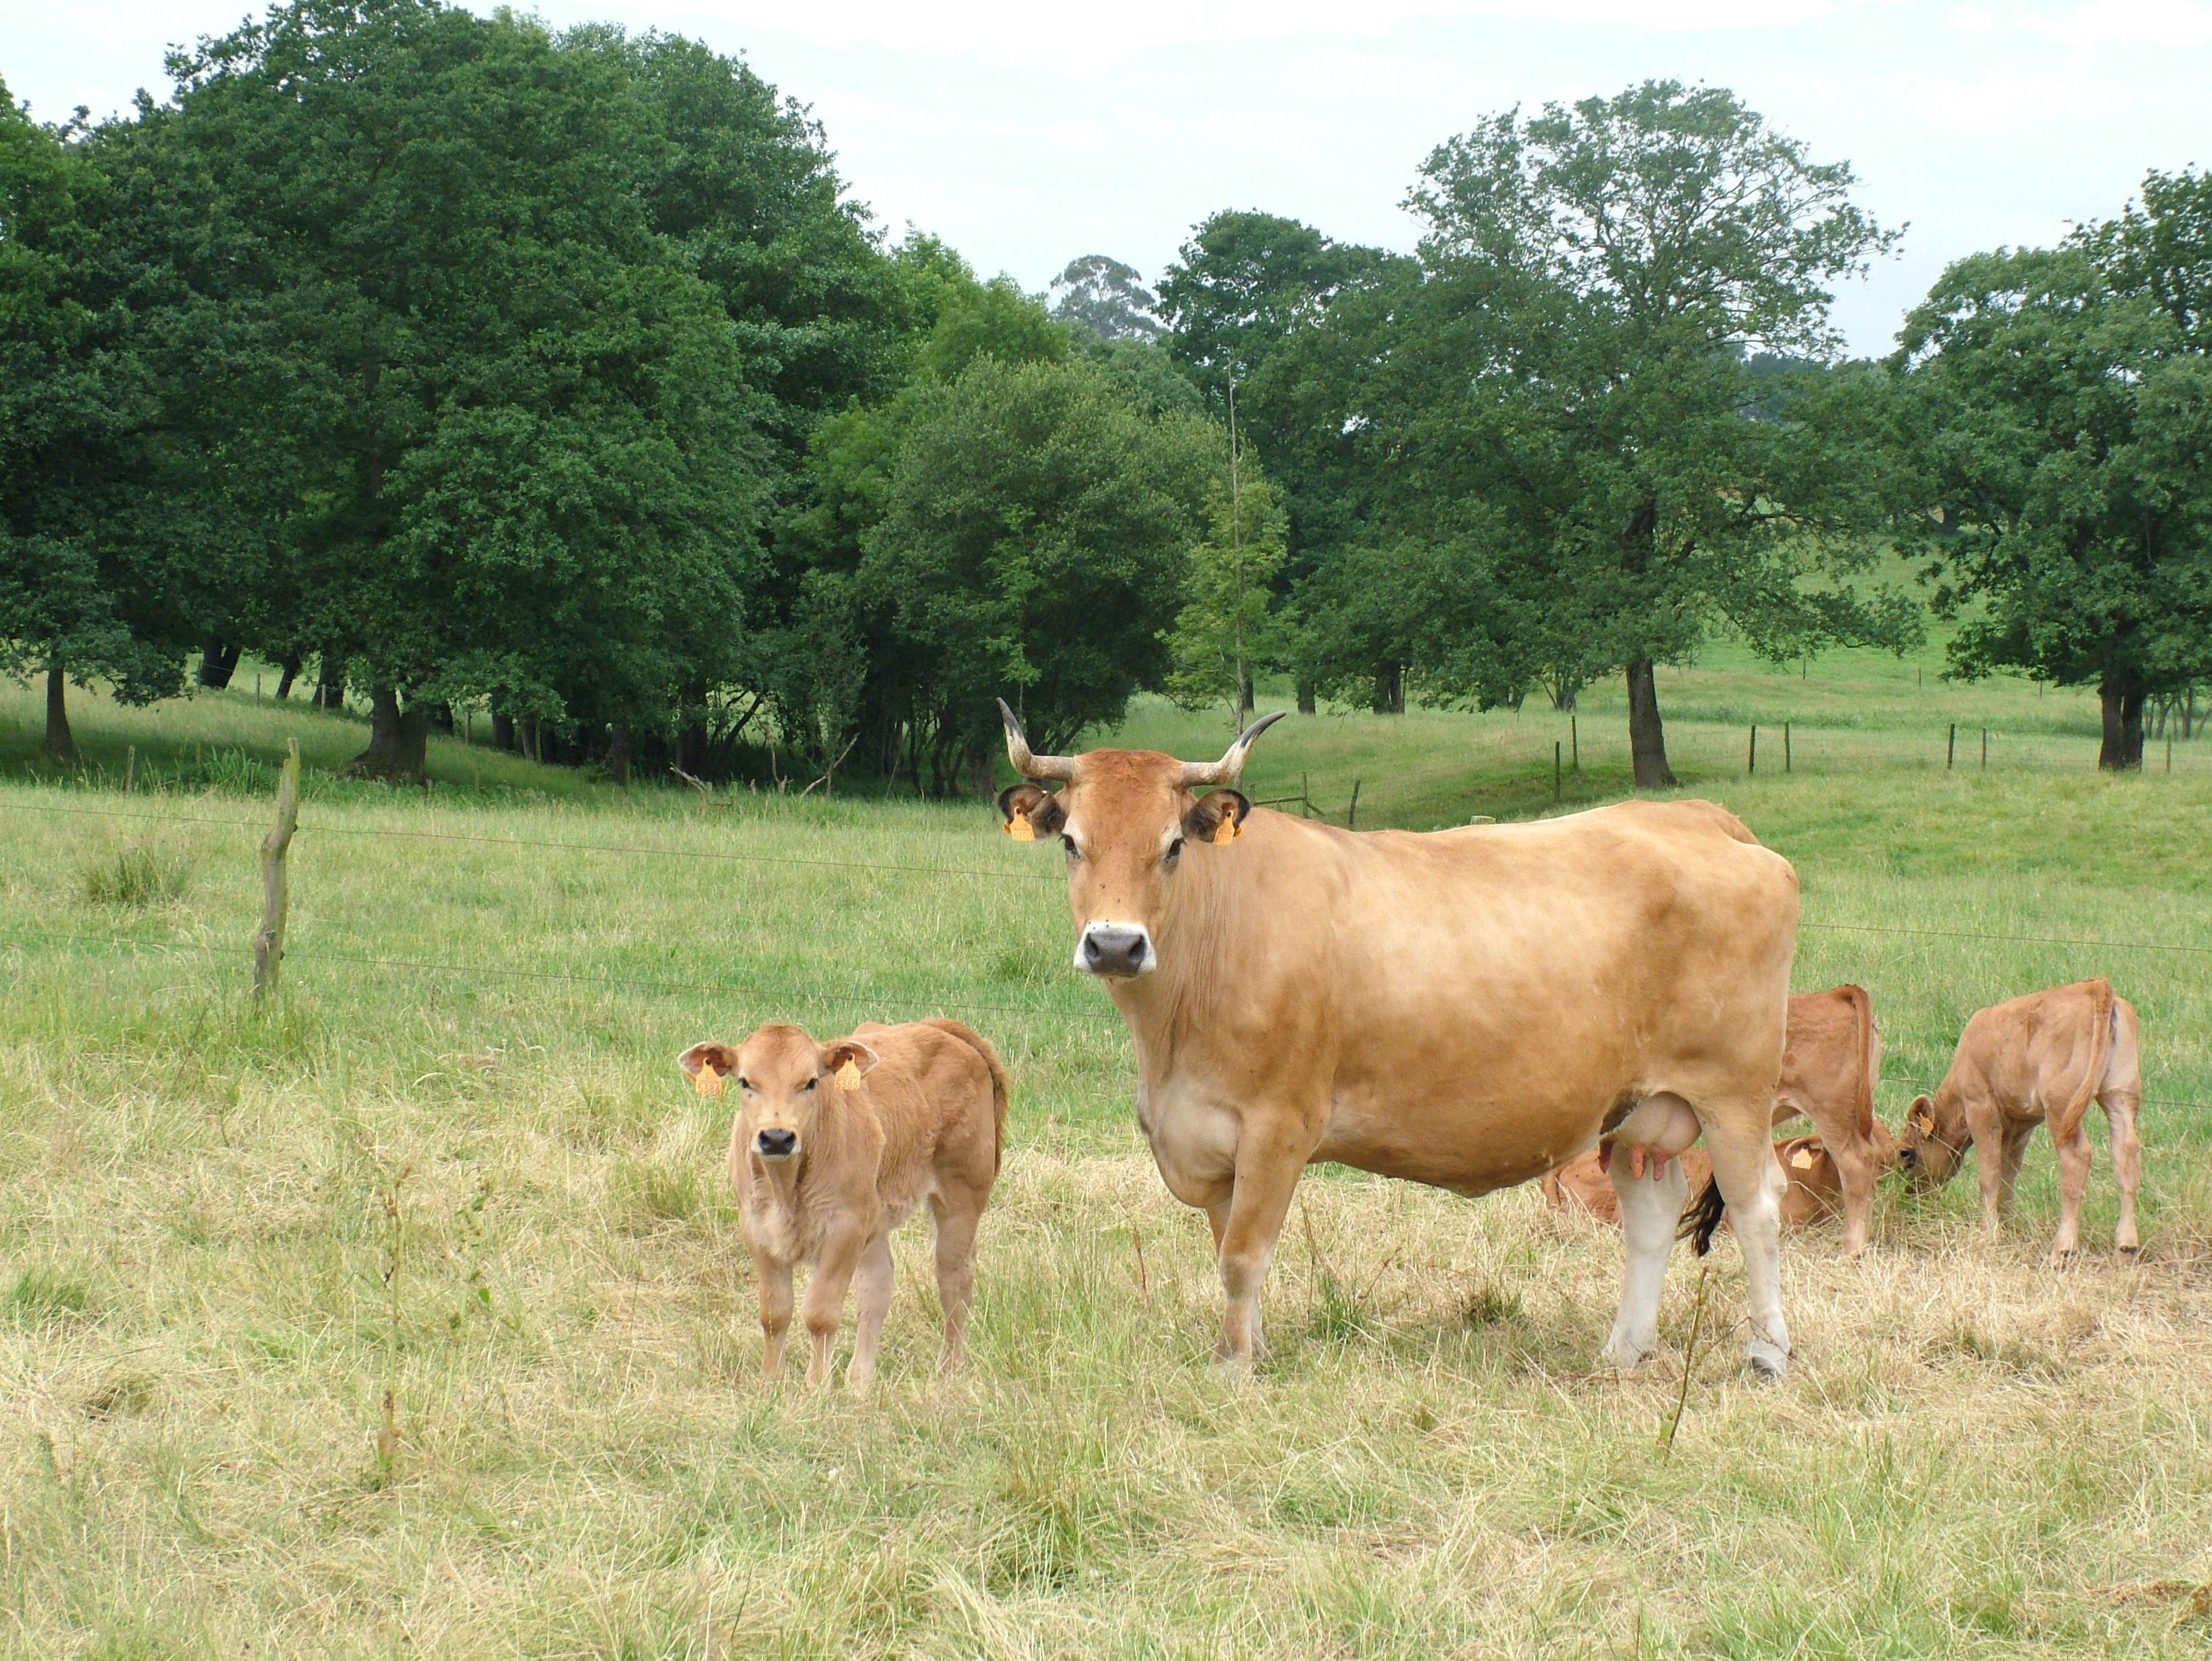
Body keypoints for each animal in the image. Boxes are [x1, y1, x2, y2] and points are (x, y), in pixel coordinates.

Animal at [677, 1019, 1007, 1392]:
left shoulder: (844, 1230)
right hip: (875, 1217)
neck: (786, 1191)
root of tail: (936, 1027)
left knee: (954, 1280)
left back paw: (949, 1370)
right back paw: (859, 1382)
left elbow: (821, 1313)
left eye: (810, 1082)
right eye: (745, 1082)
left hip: (962, 1196)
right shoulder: (757, 1230)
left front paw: (816, 1386)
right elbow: (775, 1313)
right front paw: (771, 1382)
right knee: (877, 1286)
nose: (776, 1138)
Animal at [993, 701, 1802, 1378]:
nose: (1116, 945)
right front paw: (1254, 1347)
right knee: (1651, 1213)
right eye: (1071, 843)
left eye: (1171, 848)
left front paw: (1232, 1366)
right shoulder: (1210, 1135)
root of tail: (1698, 817)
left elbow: (1244, 1256)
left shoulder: (1277, 1126)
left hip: (1734, 1090)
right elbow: (1229, 1248)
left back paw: (1767, 1355)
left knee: (1758, 1206)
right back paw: (1623, 1350)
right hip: (1636, 1104)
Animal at [1896, 979, 2142, 1264]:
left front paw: (1988, 1234)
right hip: (2121, 1096)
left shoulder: (1980, 1107)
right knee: (2126, 1156)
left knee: (2077, 1157)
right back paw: (2126, 1247)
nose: (1909, 1196)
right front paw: (2006, 1224)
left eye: (1909, 1154)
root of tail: (2094, 986)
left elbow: (1989, 1175)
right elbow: (2008, 1172)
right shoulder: (2020, 1123)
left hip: (2061, 1106)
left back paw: (2064, 1248)